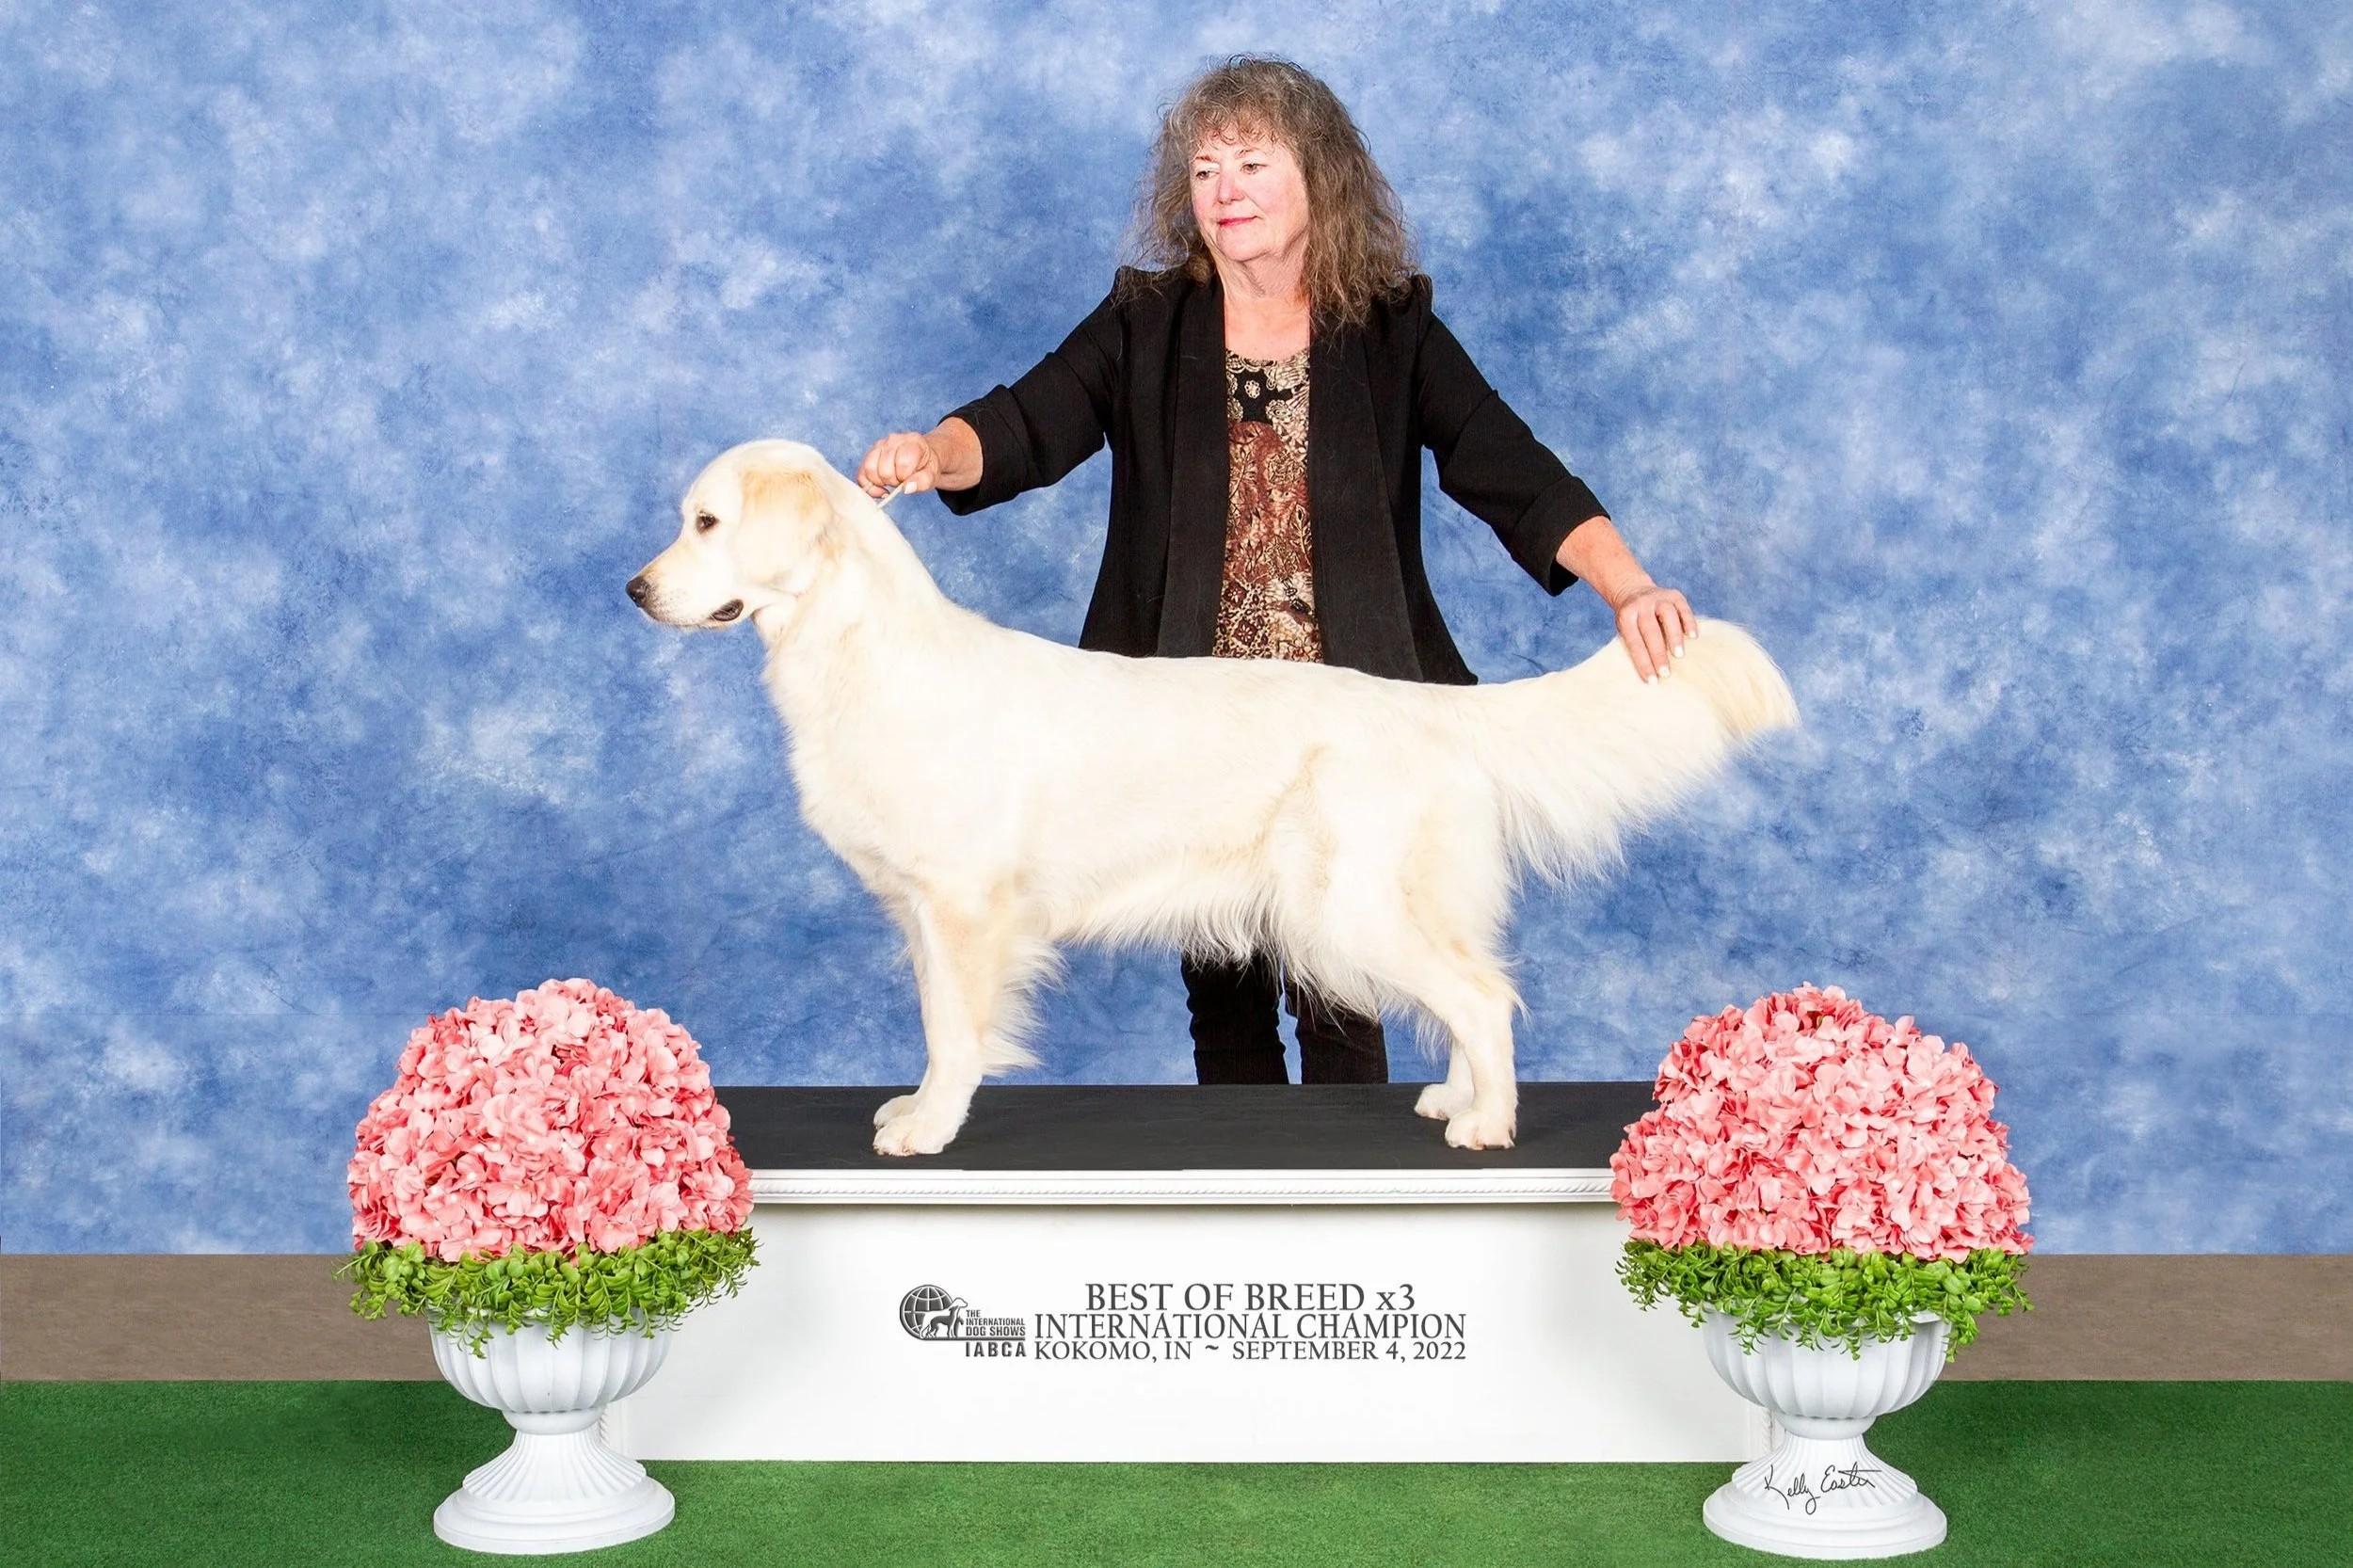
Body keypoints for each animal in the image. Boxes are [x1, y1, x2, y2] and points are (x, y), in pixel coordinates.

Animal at [629, 438, 1799, 1157]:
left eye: (706, 522)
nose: (634, 590)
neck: (854, 650)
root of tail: (1429, 707)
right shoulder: (922, 911)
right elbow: (933, 1021)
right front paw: (919, 1105)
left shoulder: (962, 905)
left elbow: (957, 1030)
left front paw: (929, 1127)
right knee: (1477, 990)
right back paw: (1459, 1097)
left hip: (1344, 907)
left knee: (1482, 996)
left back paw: (1487, 1123)